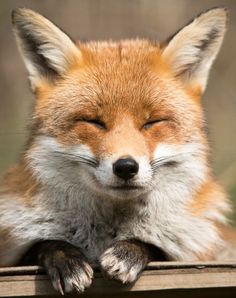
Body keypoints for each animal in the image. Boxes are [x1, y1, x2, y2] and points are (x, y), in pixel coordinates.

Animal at [0, 5, 236, 296]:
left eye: (152, 122)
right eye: (94, 122)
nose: (126, 167)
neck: (106, 230)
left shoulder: (194, 250)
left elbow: (160, 249)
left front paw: (130, 251)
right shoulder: (11, 251)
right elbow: (42, 245)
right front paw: (66, 259)